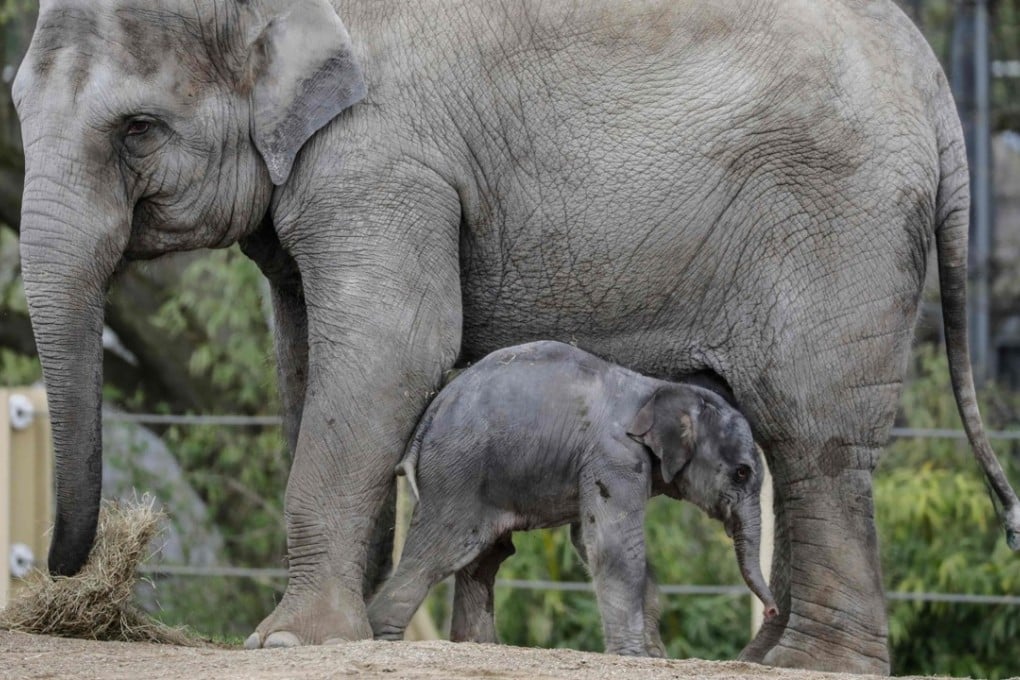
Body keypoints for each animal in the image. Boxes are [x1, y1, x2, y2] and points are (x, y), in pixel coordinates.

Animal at [367, 340, 779, 656]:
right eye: (742, 473)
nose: (772, 611)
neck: (657, 389)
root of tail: (429, 413)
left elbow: (591, 541)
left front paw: (655, 656)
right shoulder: (614, 458)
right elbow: (613, 544)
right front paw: (634, 656)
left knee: (484, 558)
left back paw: (480, 646)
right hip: (457, 472)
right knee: (444, 547)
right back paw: (382, 636)